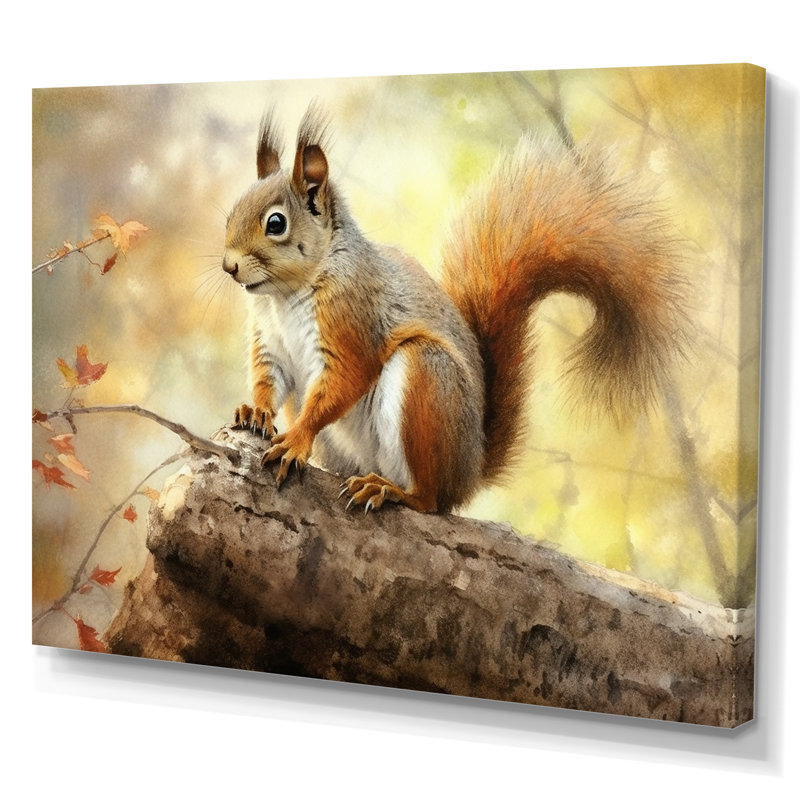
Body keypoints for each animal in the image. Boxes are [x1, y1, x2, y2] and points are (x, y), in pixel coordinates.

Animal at [222, 106, 685, 514]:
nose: (229, 266)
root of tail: (469, 472)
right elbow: (269, 378)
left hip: (429, 383)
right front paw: (255, 411)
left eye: (276, 223)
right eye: (231, 213)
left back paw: (392, 491)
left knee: (430, 500)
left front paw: (296, 439)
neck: (286, 295)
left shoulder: (354, 321)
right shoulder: (269, 340)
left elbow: (342, 382)